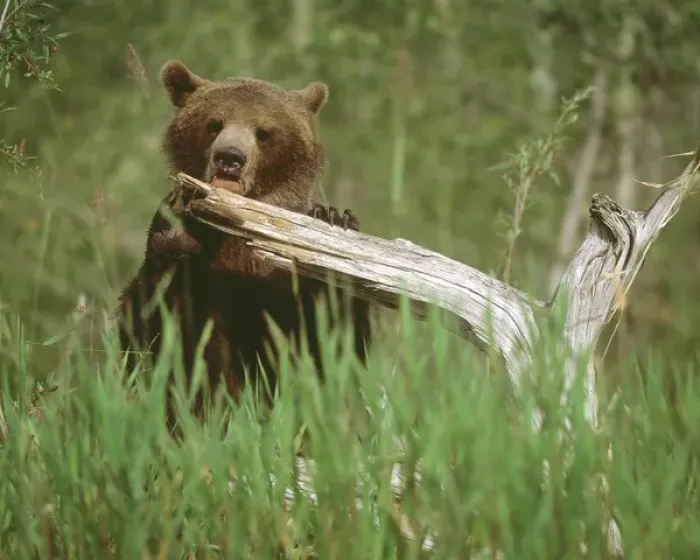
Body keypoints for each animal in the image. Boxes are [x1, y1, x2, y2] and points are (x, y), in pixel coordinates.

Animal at [116, 60, 372, 426]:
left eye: (264, 132)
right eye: (214, 123)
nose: (230, 157)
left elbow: (334, 340)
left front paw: (332, 217)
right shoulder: (205, 291)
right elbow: (157, 339)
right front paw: (174, 231)